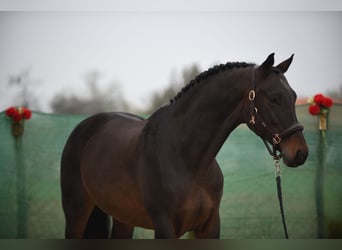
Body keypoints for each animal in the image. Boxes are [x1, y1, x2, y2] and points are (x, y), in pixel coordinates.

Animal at [60, 53, 308, 238]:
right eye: (274, 98)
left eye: (294, 96)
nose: (300, 153)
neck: (187, 158)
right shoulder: (165, 227)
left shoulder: (210, 226)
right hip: (76, 213)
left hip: (124, 218)